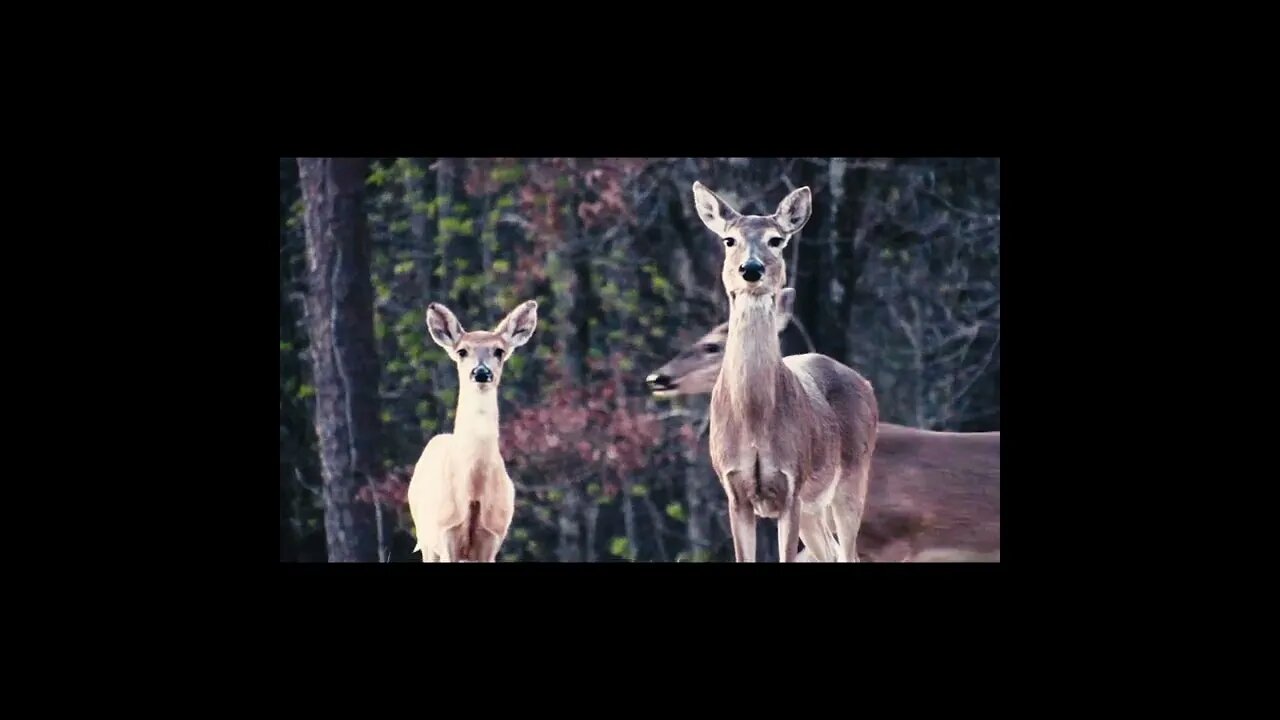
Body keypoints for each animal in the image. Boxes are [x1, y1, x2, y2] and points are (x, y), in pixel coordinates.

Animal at [406, 299, 538, 562]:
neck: (472, 490)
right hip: (425, 537)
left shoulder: (492, 536)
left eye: (499, 351)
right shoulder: (444, 532)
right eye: (462, 351)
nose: (481, 372)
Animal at [693, 181, 879, 562]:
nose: (751, 268)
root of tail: (864, 382)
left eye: (776, 239)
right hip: (815, 508)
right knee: (831, 553)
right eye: (729, 240)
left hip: (852, 478)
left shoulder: (792, 485)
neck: (753, 418)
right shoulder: (735, 490)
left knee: (848, 552)